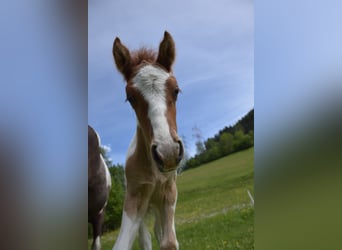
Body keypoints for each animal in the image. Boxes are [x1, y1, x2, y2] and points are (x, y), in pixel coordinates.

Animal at [112, 31, 184, 250]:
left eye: (176, 90)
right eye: (130, 98)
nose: (167, 152)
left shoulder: (169, 193)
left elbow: (169, 242)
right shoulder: (135, 196)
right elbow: (127, 244)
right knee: (146, 237)